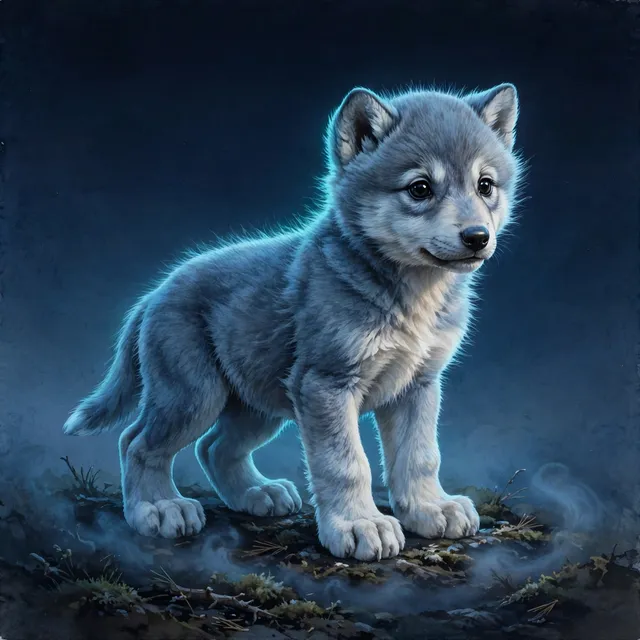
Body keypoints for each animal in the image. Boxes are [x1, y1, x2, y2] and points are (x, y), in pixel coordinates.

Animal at [63, 83, 523, 561]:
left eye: (485, 185)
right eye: (420, 188)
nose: (477, 237)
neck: (412, 295)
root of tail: (153, 293)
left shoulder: (419, 384)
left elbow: (420, 456)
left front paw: (431, 509)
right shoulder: (325, 384)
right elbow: (346, 463)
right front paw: (360, 525)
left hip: (257, 402)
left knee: (214, 447)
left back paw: (257, 495)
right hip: (194, 396)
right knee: (136, 442)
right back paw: (157, 509)